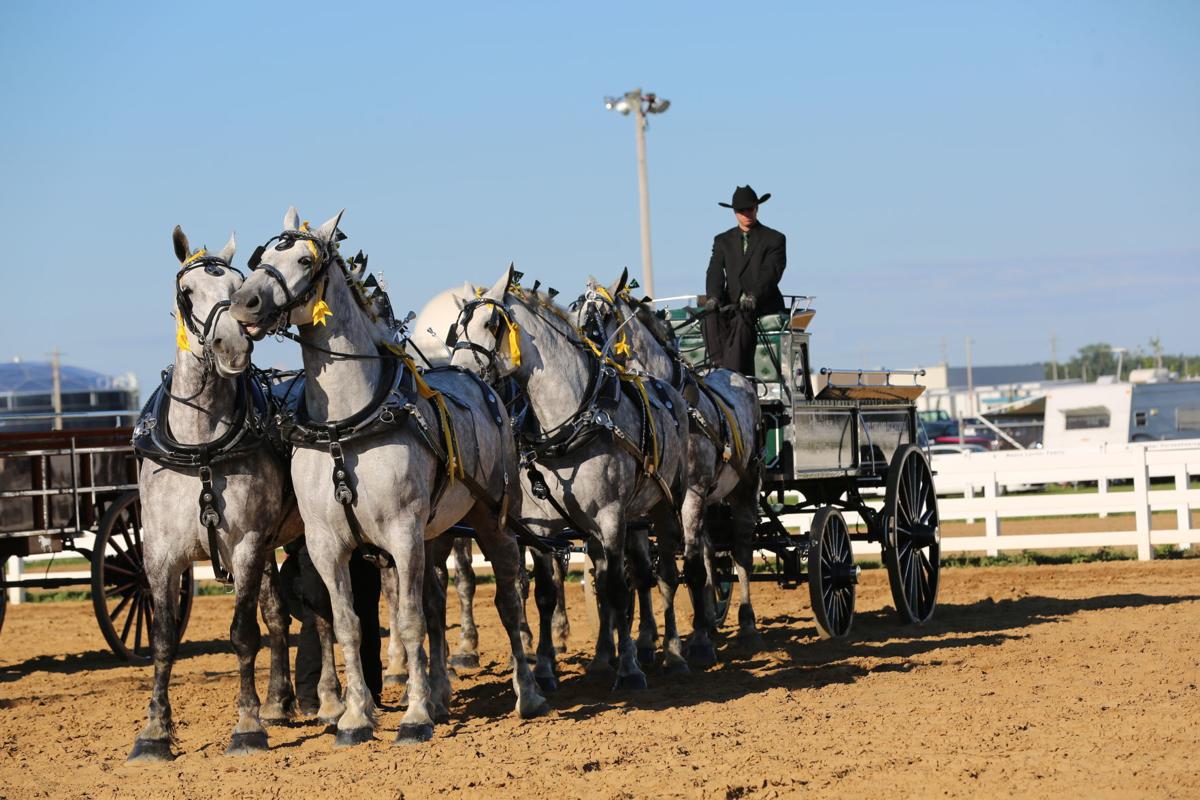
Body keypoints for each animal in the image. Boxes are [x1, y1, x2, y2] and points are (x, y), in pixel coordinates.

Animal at [130, 227, 338, 762]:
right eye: (187, 292)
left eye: (237, 285)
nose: (232, 345)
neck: (201, 444)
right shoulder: (159, 551)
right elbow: (163, 639)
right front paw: (154, 731)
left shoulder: (244, 544)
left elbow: (243, 635)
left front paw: (246, 726)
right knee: (280, 615)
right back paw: (279, 701)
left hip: (301, 538)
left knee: (321, 611)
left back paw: (329, 700)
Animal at [230, 208, 547, 746]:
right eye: (260, 257)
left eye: (303, 260)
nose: (242, 302)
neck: (344, 426)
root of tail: (477, 380)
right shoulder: (326, 544)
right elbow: (349, 625)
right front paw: (356, 717)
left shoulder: (402, 533)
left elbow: (409, 620)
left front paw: (415, 717)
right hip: (436, 534)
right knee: (439, 601)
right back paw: (440, 694)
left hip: (491, 521)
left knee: (508, 596)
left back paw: (528, 691)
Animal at [448, 265, 689, 688]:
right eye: (456, 328)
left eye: (491, 323)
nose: (460, 374)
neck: (570, 420)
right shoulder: (541, 528)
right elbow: (548, 592)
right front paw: (544, 666)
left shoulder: (611, 517)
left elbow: (617, 589)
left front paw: (629, 669)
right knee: (623, 575)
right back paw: (608, 653)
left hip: (663, 505)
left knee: (664, 576)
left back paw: (674, 650)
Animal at [576, 270, 764, 657]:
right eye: (578, 310)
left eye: (603, 313)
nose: (584, 346)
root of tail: (742, 379)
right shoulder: (641, 505)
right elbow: (645, 573)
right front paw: (648, 639)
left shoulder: (691, 492)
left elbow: (686, 570)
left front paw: (698, 642)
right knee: (709, 554)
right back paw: (710, 618)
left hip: (743, 488)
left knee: (740, 554)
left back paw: (746, 624)